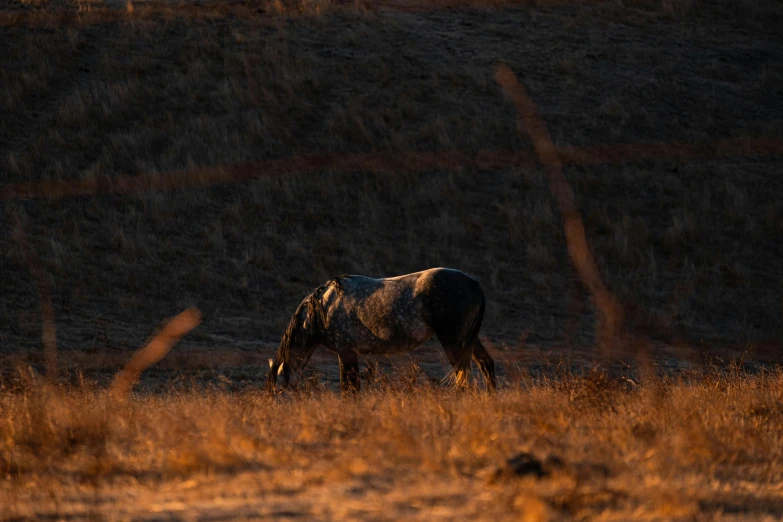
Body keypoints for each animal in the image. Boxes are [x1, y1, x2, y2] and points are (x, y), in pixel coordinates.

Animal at [264, 264, 496, 390]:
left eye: (277, 391)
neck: (325, 307)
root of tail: (473, 283)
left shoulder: (346, 352)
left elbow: (350, 388)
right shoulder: (345, 353)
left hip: (453, 341)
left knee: (462, 374)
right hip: (468, 340)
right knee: (485, 364)